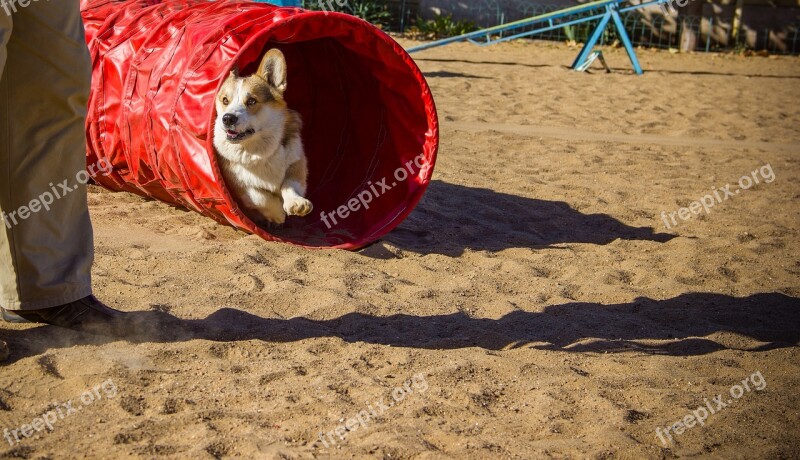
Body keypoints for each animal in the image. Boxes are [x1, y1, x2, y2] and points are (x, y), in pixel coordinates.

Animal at [212, 49, 312, 226]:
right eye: (225, 100)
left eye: (252, 101)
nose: (228, 118)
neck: (258, 149)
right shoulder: (237, 185)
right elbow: (259, 196)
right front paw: (278, 214)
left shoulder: (297, 163)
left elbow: (289, 183)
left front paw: (296, 203)